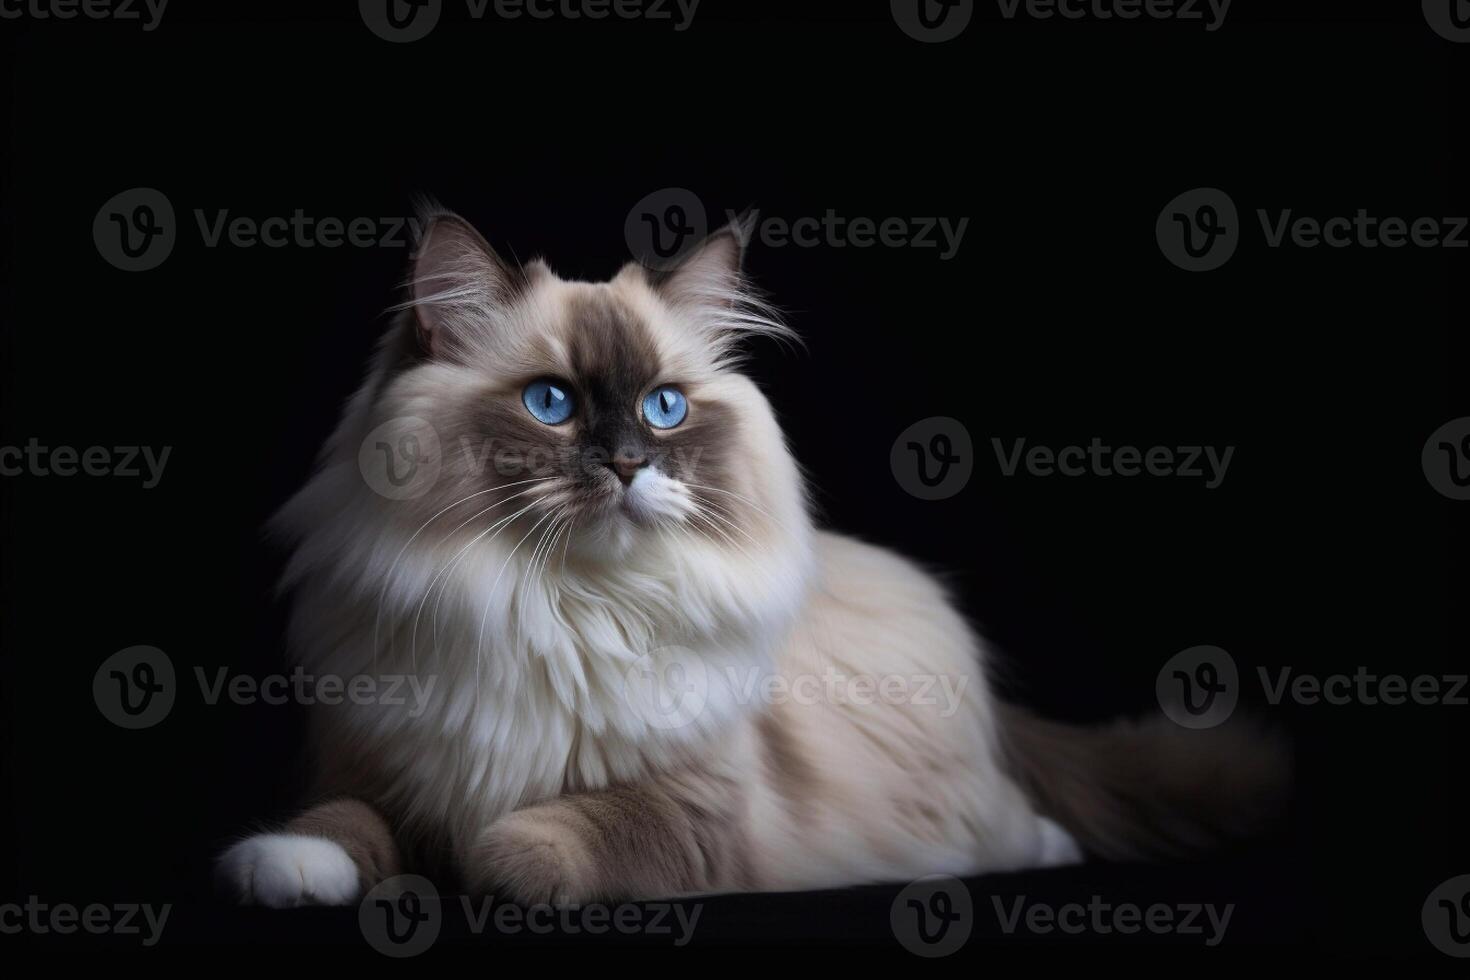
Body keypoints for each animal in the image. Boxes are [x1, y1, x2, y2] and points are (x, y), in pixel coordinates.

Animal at [217, 208, 1287, 910]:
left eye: (664, 408)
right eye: (551, 403)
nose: (629, 461)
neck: (556, 604)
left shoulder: (694, 810)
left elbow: (540, 839)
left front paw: (482, 858)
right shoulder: (368, 764)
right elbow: (340, 822)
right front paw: (284, 871)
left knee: (1015, 824)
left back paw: (1049, 849)